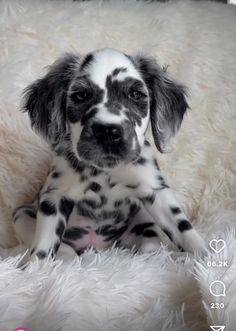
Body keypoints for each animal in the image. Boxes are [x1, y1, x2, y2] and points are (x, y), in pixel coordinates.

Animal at [12, 48, 206, 262]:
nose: (107, 132)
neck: (105, 173)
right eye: (80, 95)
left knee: (151, 243)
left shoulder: (155, 190)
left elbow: (184, 230)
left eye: (135, 94)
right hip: (21, 215)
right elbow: (43, 248)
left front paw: (205, 256)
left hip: (144, 218)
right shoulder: (53, 198)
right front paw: (38, 266)